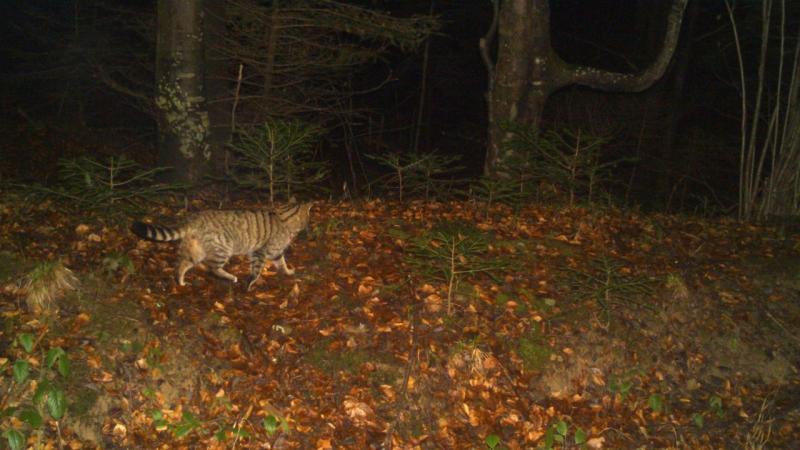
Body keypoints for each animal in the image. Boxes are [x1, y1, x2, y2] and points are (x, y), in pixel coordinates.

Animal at [131, 202, 312, 290]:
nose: (307, 226)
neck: (284, 217)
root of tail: (195, 218)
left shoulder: (275, 252)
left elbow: (281, 262)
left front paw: (287, 271)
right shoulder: (260, 251)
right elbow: (257, 270)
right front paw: (251, 282)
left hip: (194, 249)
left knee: (181, 264)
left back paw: (180, 280)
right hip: (223, 248)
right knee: (213, 268)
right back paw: (230, 276)